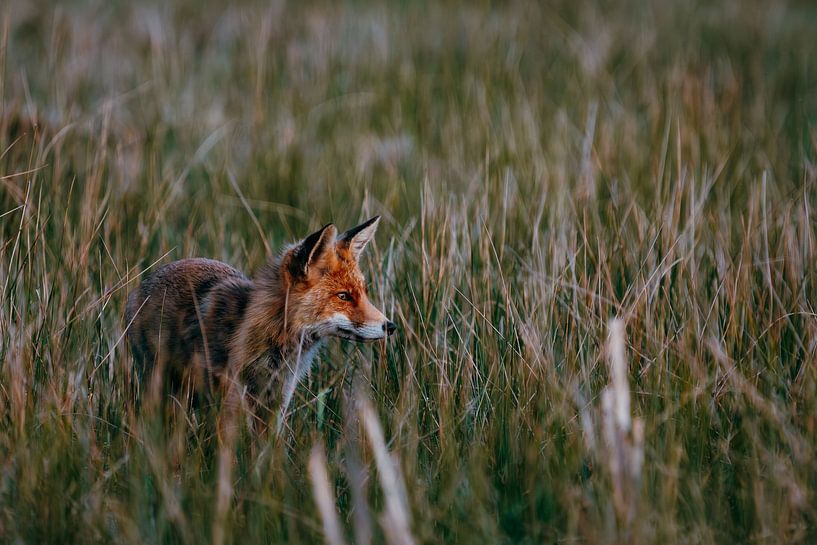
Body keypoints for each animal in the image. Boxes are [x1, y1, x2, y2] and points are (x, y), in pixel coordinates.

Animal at [125, 216, 395, 427]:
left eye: (363, 293)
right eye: (343, 296)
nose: (390, 326)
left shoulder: (277, 400)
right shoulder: (232, 399)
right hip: (162, 387)